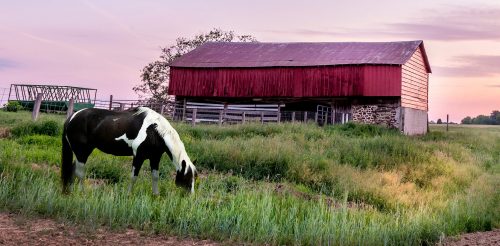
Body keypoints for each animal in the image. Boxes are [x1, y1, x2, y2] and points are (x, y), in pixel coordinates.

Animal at [61, 106, 197, 195]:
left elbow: (155, 177)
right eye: (187, 178)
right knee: (80, 173)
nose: (190, 196)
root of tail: (71, 118)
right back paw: (82, 193)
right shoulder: (138, 157)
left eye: (195, 177)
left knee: (72, 170)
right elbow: (133, 177)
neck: (154, 131)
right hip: (81, 151)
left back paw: (70, 192)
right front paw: (128, 195)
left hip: (84, 151)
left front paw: (156, 196)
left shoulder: (155, 158)